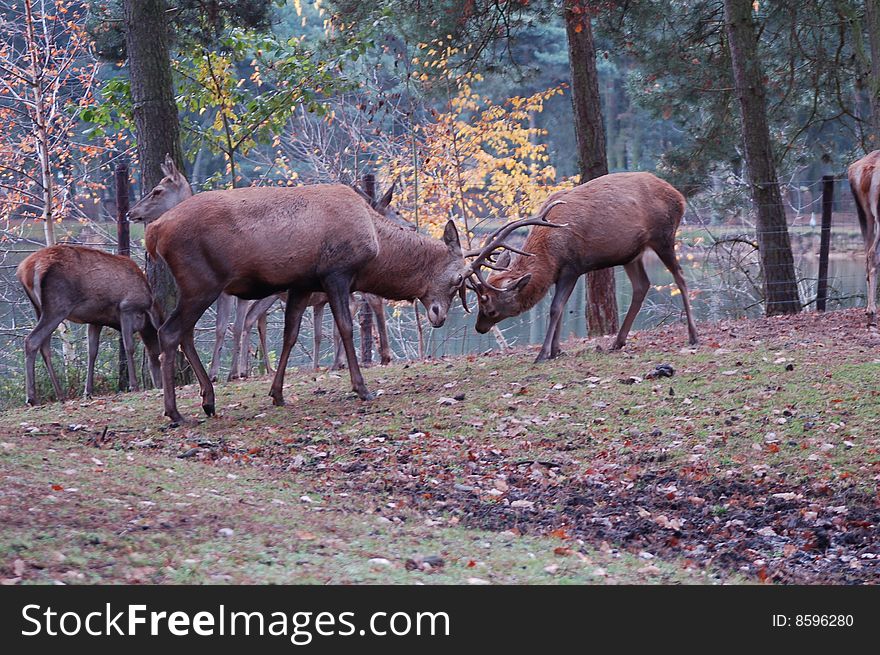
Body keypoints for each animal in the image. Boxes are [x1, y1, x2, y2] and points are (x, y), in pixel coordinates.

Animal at [16, 245, 164, 404]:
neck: (147, 312)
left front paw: (88, 391)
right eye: (161, 358)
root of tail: (25, 270)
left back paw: (60, 394)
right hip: (57, 306)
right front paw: (134, 385)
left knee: (44, 346)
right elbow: (129, 347)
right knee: (31, 340)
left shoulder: (95, 320)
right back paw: (32, 398)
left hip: (38, 308)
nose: (160, 385)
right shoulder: (127, 308)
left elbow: (92, 352)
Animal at [131, 179, 478, 426]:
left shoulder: (302, 284)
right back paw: (176, 413)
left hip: (196, 286)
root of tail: (154, 231)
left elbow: (291, 334)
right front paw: (362, 388)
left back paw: (208, 399)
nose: (439, 316)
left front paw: (277, 393)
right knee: (170, 332)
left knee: (184, 333)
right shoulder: (336, 273)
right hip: (202, 283)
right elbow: (345, 328)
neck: (376, 247)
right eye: (459, 278)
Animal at [468, 172, 700, 362]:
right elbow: (561, 309)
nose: (479, 328)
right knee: (642, 285)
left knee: (680, 276)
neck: (550, 255)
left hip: (663, 236)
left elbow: (555, 308)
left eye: (490, 309)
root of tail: (680, 198)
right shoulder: (560, 274)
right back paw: (618, 342)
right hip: (631, 254)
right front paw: (556, 351)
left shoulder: (572, 268)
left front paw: (543, 354)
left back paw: (693, 335)